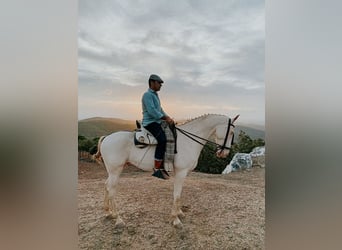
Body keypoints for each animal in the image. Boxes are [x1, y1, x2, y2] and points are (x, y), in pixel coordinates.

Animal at [92, 114, 239, 228]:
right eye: (231, 132)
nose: (224, 153)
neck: (187, 141)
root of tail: (106, 138)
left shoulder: (183, 173)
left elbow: (179, 194)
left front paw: (179, 213)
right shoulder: (181, 172)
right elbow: (177, 194)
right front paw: (176, 219)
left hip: (112, 171)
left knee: (106, 186)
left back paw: (108, 213)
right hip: (115, 170)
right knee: (111, 190)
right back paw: (118, 219)